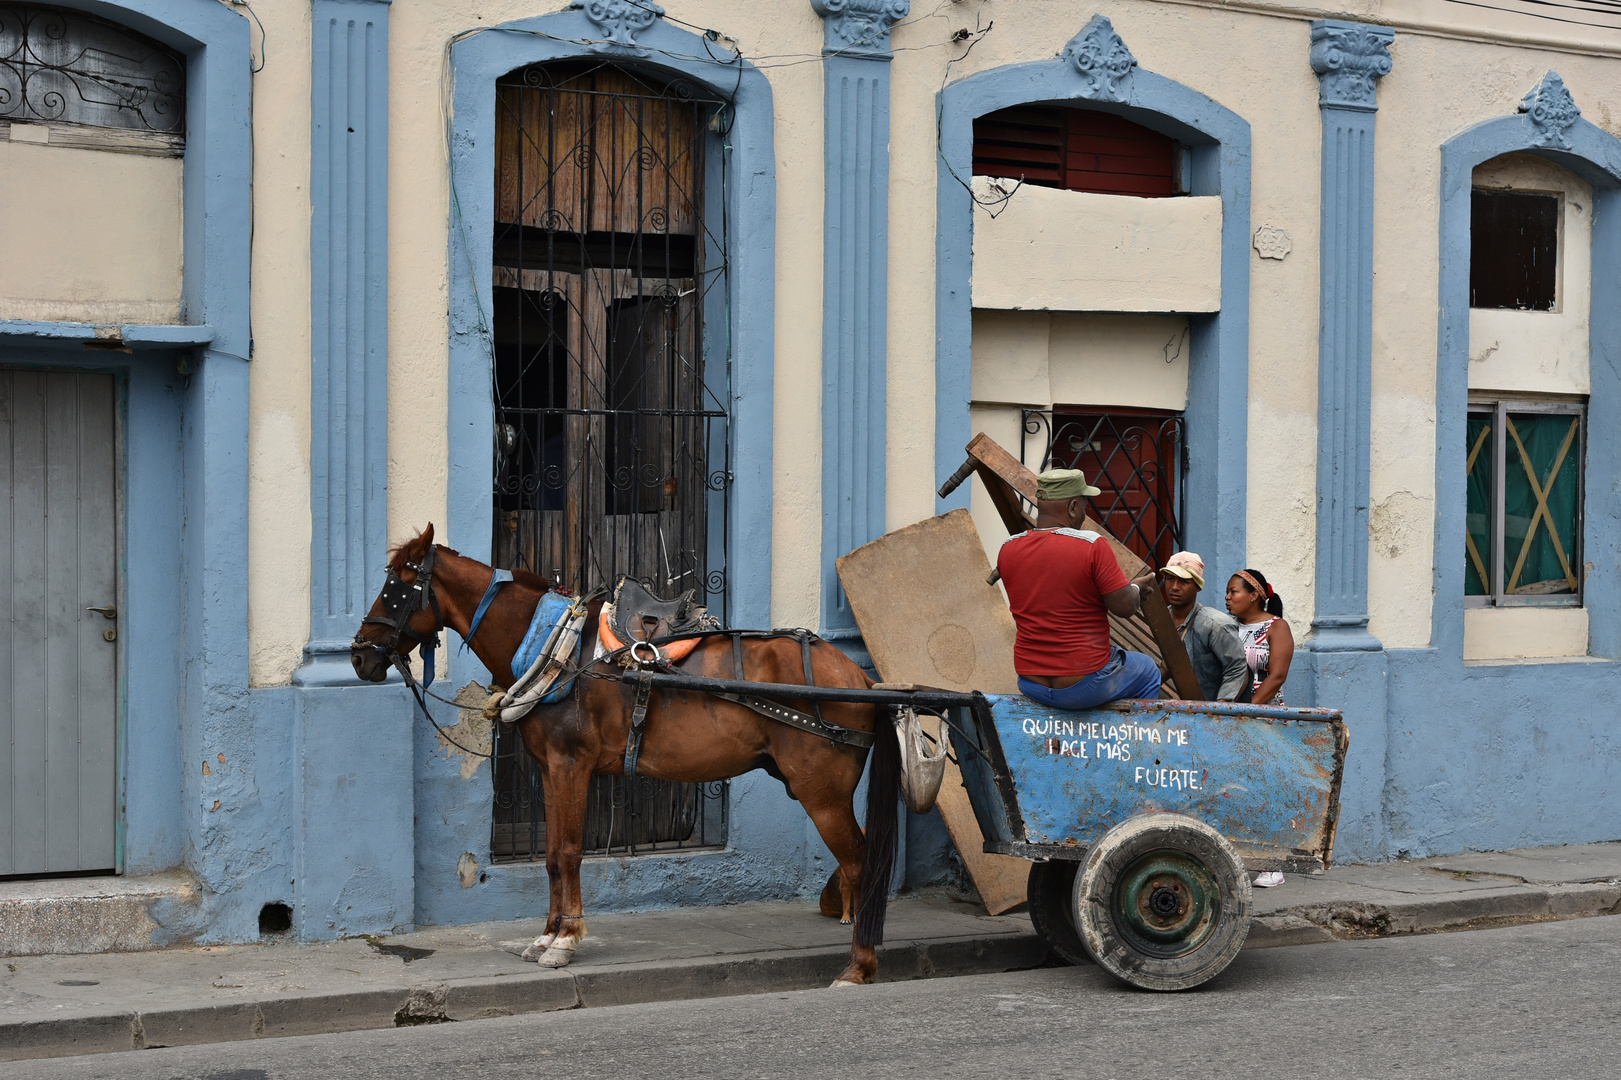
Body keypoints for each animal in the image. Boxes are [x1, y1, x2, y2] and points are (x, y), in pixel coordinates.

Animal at [348, 522, 901, 985]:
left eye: (396, 586)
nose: (357, 656)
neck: (557, 650)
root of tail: (861, 676)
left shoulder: (571, 765)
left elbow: (569, 851)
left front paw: (566, 940)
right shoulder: (550, 769)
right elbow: (551, 855)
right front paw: (546, 934)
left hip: (821, 792)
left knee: (860, 863)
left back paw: (858, 965)